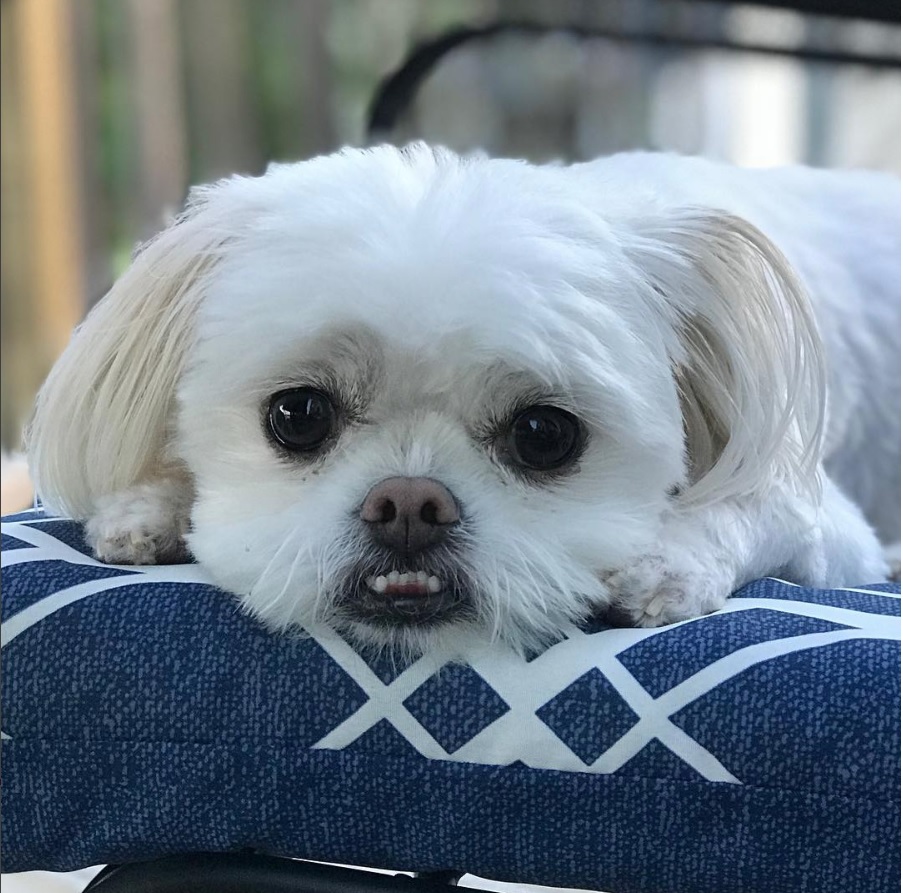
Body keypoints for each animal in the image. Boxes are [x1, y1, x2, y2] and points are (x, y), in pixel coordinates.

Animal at [24, 143, 900, 652]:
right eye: (297, 414)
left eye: (544, 433)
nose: (409, 503)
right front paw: (151, 507)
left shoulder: (824, 520)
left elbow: (741, 509)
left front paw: (663, 560)